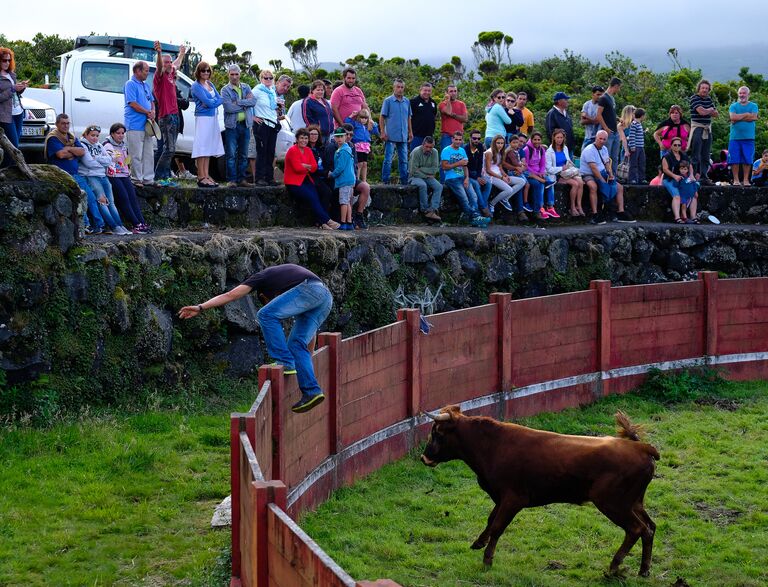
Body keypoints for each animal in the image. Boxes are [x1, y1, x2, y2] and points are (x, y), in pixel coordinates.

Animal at [420, 406, 660, 576]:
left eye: (437, 433)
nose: (424, 458)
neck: (492, 445)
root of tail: (641, 447)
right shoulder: (500, 497)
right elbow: (491, 520)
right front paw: (478, 543)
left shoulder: (513, 499)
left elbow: (497, 526)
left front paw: (487, 560)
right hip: (634, 502)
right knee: (650, 527)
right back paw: (644, 570)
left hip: (613, 503)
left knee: (636, 529)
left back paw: (613, 568)